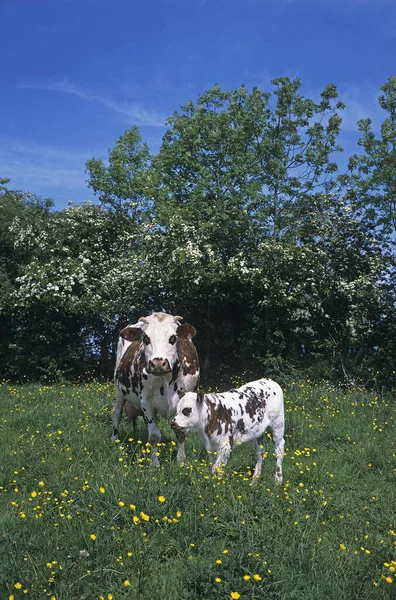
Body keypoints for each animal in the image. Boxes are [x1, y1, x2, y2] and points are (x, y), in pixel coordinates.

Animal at [112, 312, 200, 466]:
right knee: (117, 413)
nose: (158, 363)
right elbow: (153, 435)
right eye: (146, 338)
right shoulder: (146, 401)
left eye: (173, 338)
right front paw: (154, 465)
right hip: (119, 390)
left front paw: (181, 461)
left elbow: (181, 433)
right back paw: (114, 439)